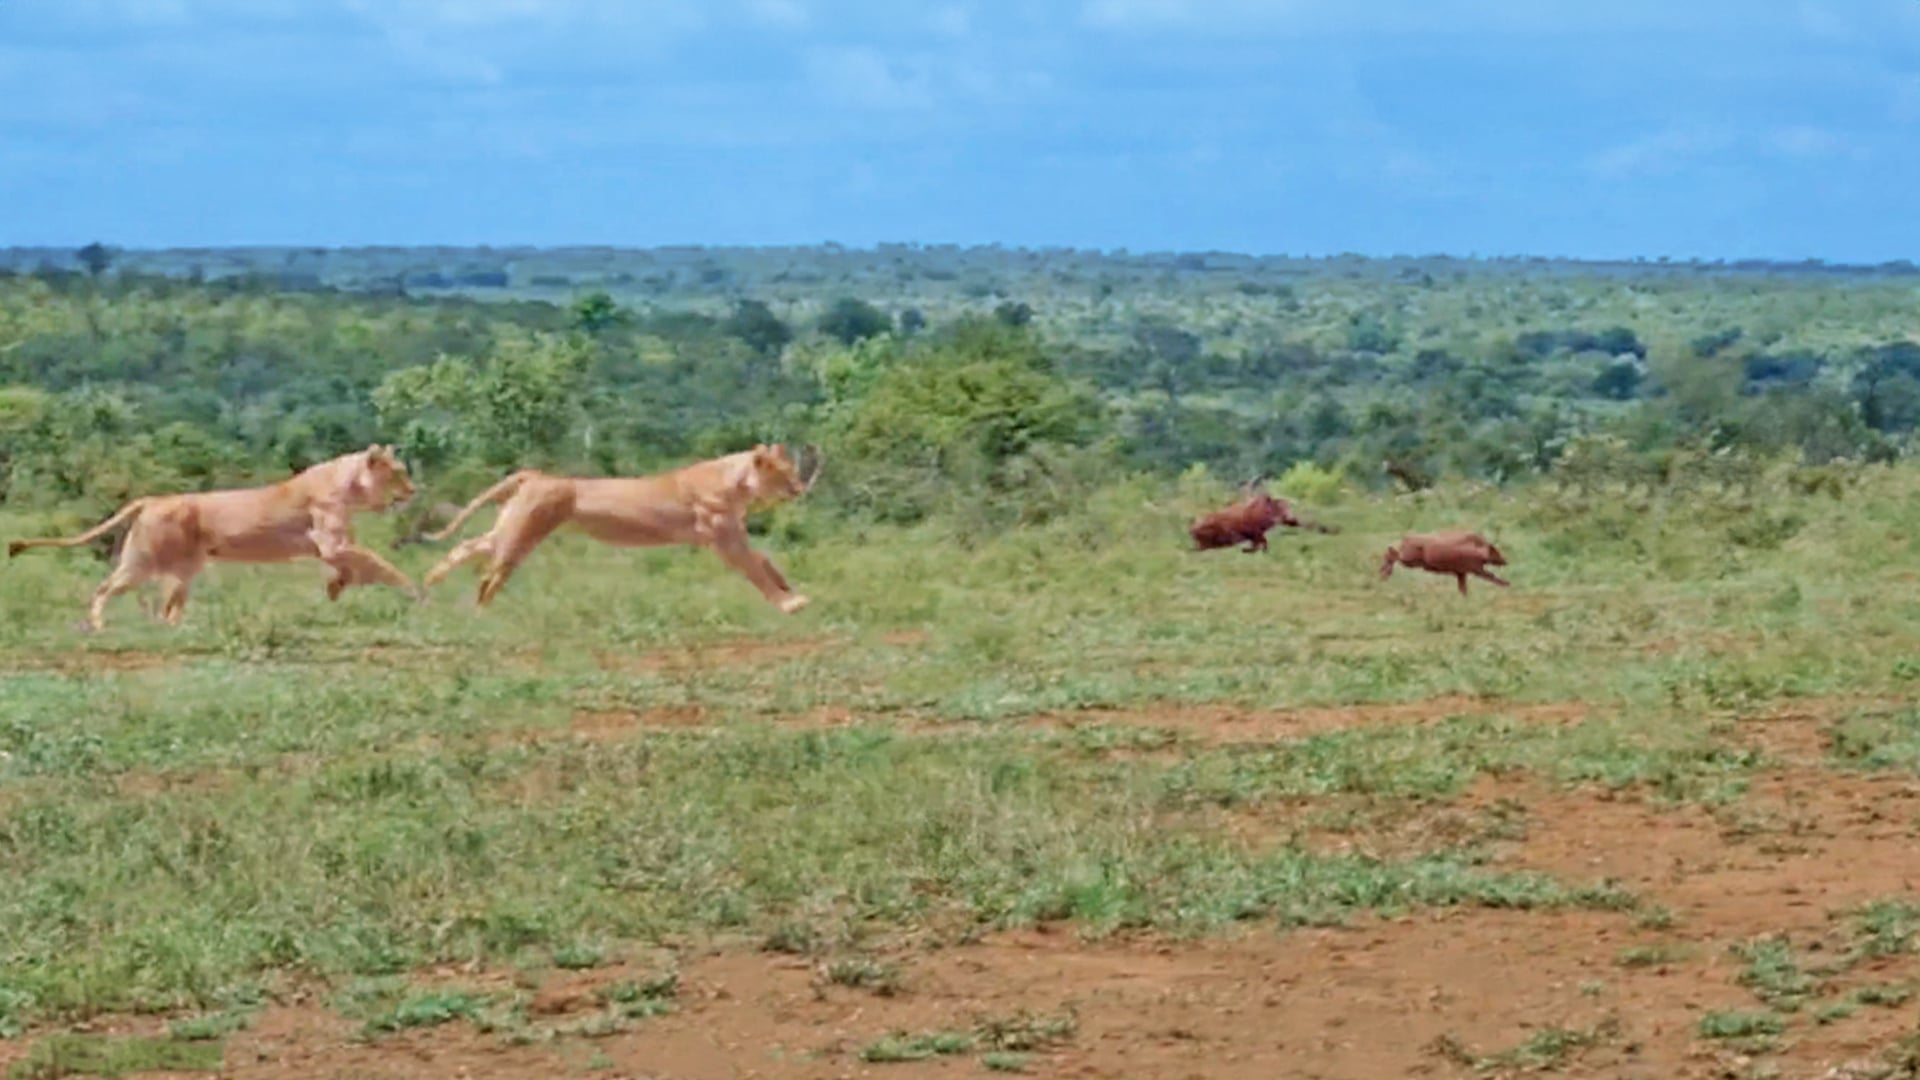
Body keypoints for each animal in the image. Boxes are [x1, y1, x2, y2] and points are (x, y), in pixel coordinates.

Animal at [8, 444, 421, 631]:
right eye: (398, 472)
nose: (414, 490)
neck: (351, 487)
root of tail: (153, 499)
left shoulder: (329, 548)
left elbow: (355, 568)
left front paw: (335, 589)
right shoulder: (333, 542)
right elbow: (382, 565)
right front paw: (417, 592)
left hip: (184, 571)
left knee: (168, 609)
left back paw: (176, 629)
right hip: (141, 562)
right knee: (103, 589)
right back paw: (98, 626)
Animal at [418, 443, 824, 613]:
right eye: (783, 473)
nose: (799, 488)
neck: (736, 484)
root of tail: (536, 474)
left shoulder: (730, 536)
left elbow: (766, 561)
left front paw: (790, 591)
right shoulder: (723, 538)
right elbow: (755, 568)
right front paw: (791, 603)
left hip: (510, 526)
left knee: (467, 548)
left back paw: (430, 584)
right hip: (523, 534)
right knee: (490, 576)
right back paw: (479, 613)